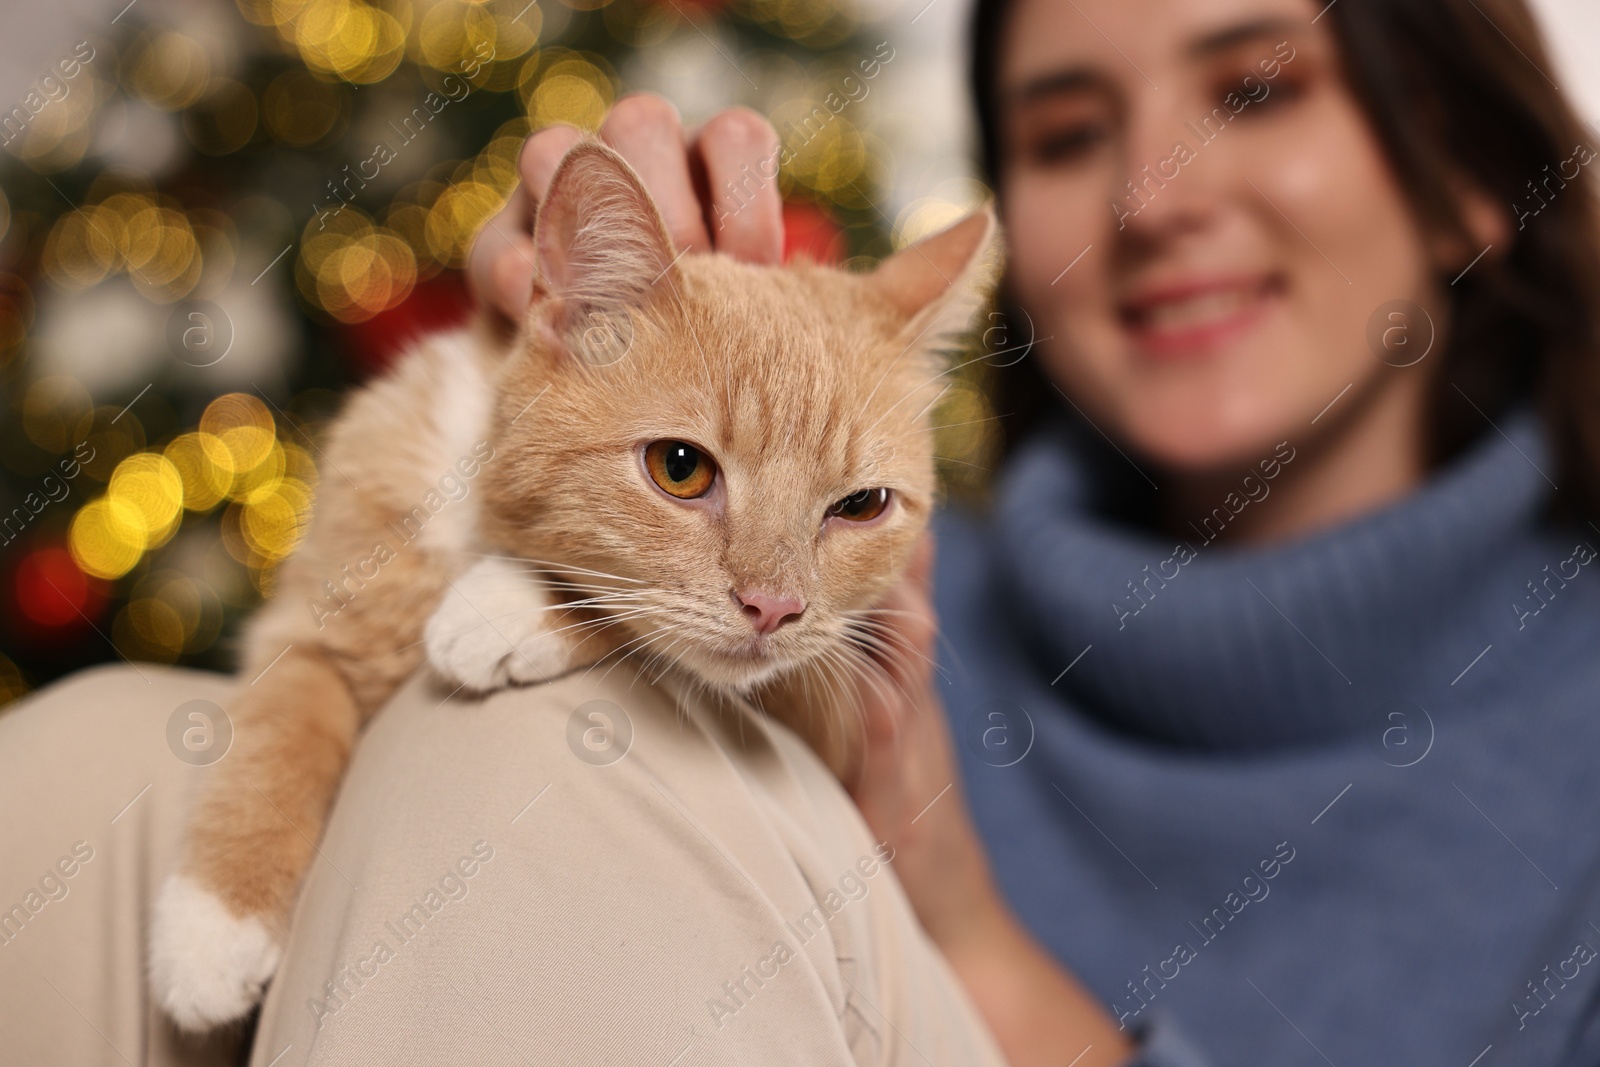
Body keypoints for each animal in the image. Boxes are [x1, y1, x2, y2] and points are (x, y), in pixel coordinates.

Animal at [150, 137, 998, 1030]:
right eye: (680, 468)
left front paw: (506, 607)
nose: (775, 606)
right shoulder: (312, 625)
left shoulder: (831, 710)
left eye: (861, 504)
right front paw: (211, 928)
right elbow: (276, 737)